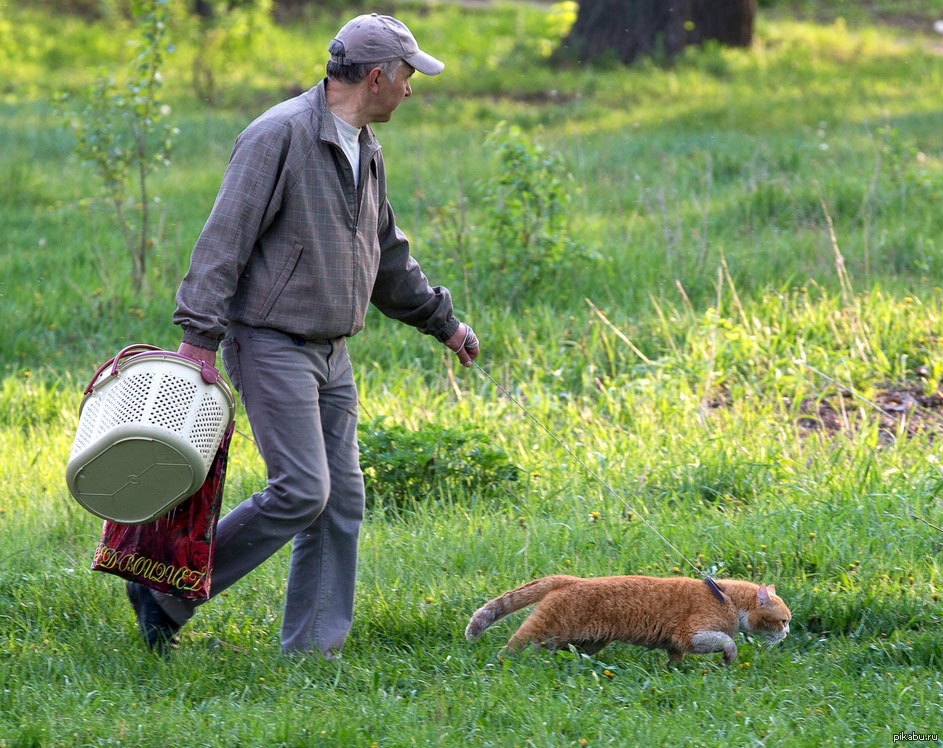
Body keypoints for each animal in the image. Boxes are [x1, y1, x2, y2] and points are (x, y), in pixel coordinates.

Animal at [464, 576, 788, 664]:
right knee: (511, 647)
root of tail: (569, 579)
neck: (725, 596)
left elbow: (675, 660)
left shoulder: (677, 644)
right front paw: (729, 657)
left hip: (586, 642)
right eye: (783, 621)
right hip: (543, 632)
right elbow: (728, 641)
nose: (786, 634)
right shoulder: (690, 634)